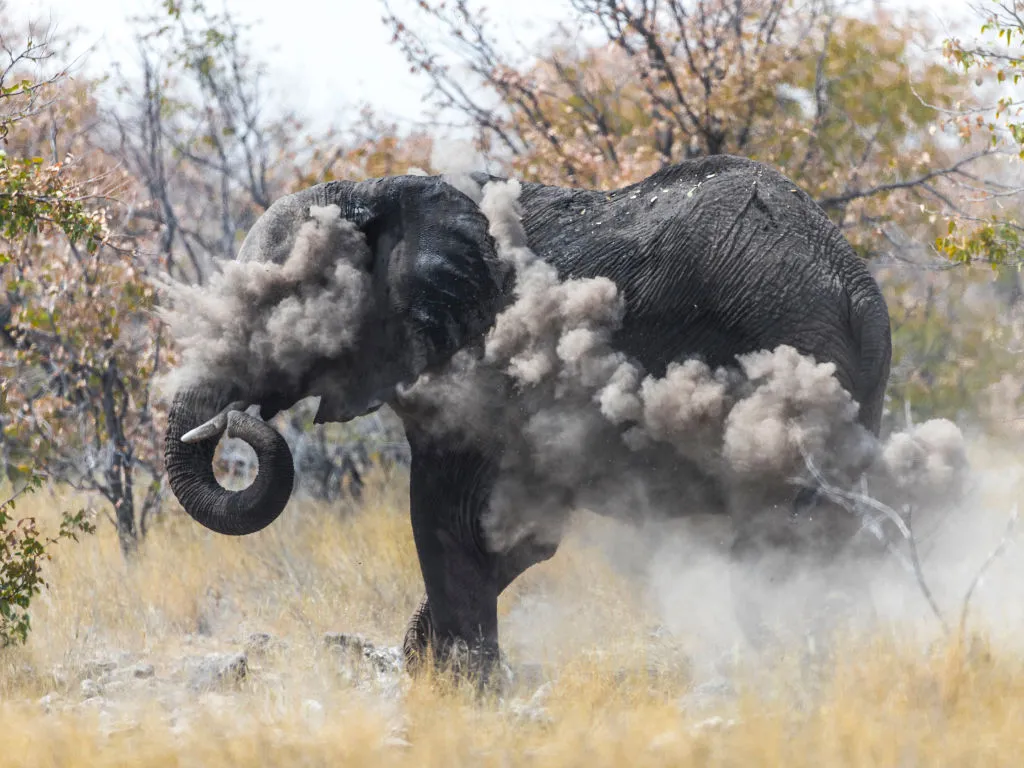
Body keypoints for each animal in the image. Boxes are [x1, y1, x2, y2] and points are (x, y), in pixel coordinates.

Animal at [163, 154, 892, 681]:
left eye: (274, 307)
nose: (234, 420)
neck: (386, 189)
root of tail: (855, 287)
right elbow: (515, 537)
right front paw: (430, 668)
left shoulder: (478, 365)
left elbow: (452, 519)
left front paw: (456, 691)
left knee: (778, 537)